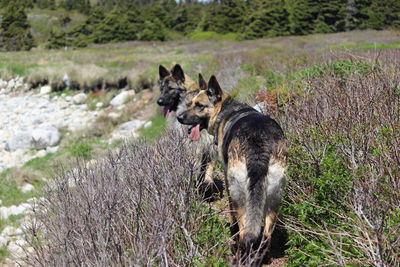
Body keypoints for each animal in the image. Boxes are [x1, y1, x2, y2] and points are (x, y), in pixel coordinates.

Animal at [178, 75, 288, 266]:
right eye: (190, 103)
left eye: (199, 105)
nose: (179, 117)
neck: (225, 109)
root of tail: (258, 147)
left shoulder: (228, 183)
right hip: (274, 197)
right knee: (266, 236)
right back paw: (262, 257)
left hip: (240, 197)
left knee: (245, 234)